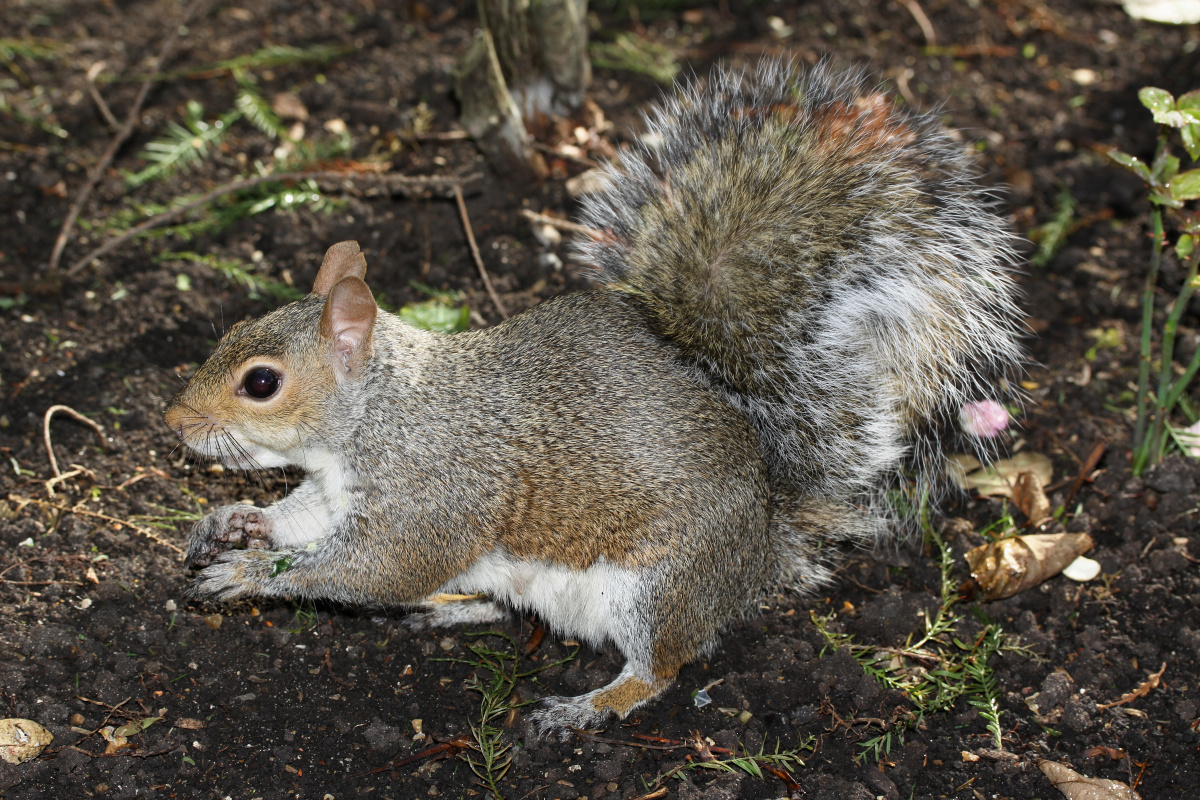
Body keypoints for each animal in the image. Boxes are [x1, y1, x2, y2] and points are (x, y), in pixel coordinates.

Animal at [162, 61, 1022, 738]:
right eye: (232, 327)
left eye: (261, 382)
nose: (173, 421)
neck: (377, 416)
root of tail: (761, 541)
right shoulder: (336, 491)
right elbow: (299, 520)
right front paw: (233, 523)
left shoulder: (434, 492)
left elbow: (373, 570)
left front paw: (251, 575)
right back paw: (457, 608)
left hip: (659, 585)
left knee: (661, 668)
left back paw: (590, 705)